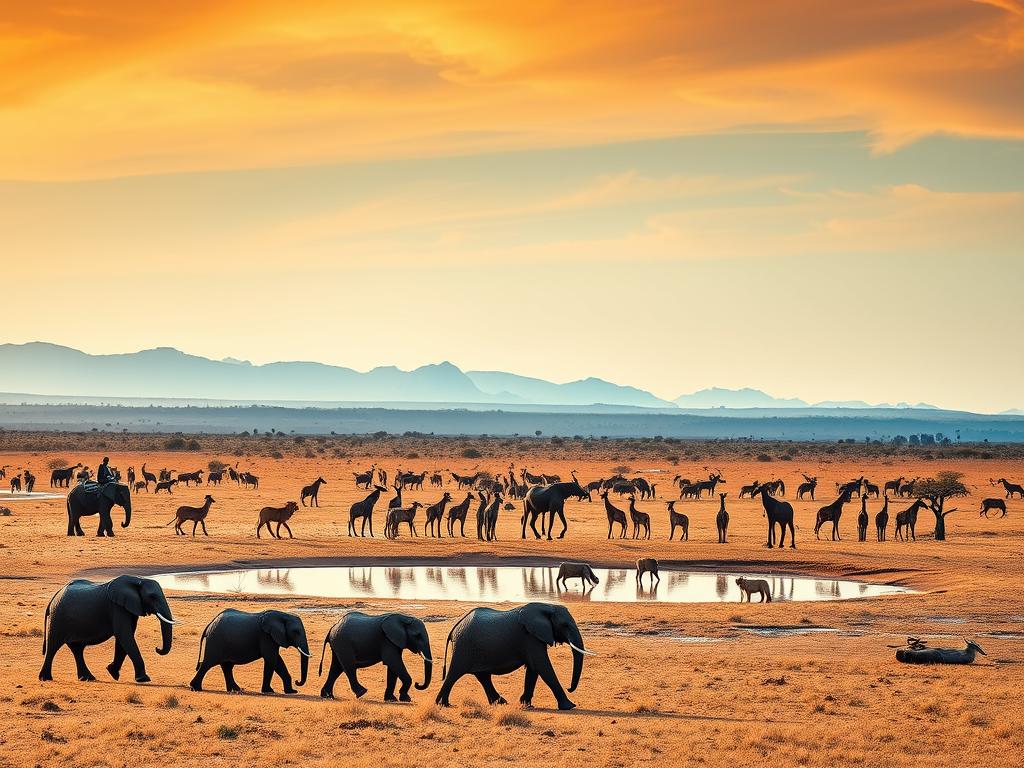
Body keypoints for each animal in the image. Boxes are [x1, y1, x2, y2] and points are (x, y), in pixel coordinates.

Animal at [39, 575, 176, 683]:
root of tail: (53, 599)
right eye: (152, 597)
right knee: (53, 646)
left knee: (77, 649)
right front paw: (144, 679)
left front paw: (112, 673)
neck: (138, 580)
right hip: (57, 619)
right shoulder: (117, 608)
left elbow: (124, 639)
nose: (157, 649)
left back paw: (87, 678)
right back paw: (45, 678)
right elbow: (125, 636)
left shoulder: (128, 608)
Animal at [435, 602, 593, 710]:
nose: (569, 688)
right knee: (454, 674)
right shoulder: (529, 637)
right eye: (565, 625)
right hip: (463, 647)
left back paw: (500, 703)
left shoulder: (532, 637)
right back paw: (443, 704)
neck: (547, 606)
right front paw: (570, 706)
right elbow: (542, 666)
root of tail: (455, 627)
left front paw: (526, 704)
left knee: (483, 677)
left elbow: (533, 669)